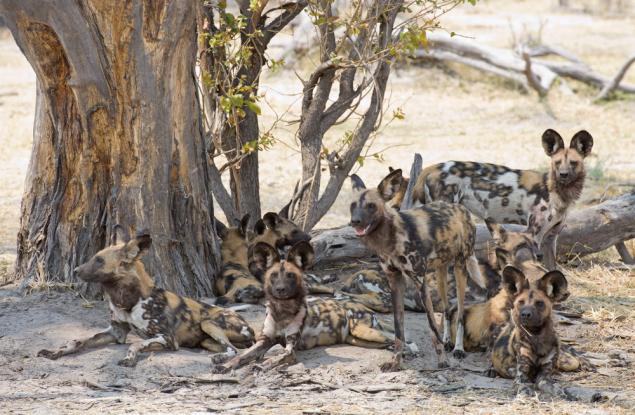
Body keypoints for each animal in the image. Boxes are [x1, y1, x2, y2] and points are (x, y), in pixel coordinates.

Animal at [37, 231, 255, 368]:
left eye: (99, 260)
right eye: (94, 257)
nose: (75, 270)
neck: (127, 299)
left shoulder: (167, 338)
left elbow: (135, 344)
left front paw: (129, 358)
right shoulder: (116, 332)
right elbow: (78, 341)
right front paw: (55, 352)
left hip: (208, 323)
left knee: (234, 350)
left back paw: (219, 359)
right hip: (206, 341)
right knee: (232, 348)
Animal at [214, 240, 392, 374]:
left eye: (290, 275)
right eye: (273, 275)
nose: (280, 289)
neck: (282, 312)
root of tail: (361, 306)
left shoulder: (290, 348)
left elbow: (276, 358)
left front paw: (262, 365)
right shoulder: (264, 341)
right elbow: (241, 356)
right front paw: (226, 365)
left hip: (363, 331)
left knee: (395, 340)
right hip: (357, 338)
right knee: (388, 343)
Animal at [350, 171, 484, 370]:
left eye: (371, 206)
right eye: (352, 206)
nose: (355, 221)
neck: (391, 239)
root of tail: (461, 208)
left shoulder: (420, 284)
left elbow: (432, 327)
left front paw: (442, 361)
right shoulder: (395, 283)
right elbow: (399, 330)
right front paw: (396, 361)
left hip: (460, 269)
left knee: (460, 313)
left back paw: (458, 349)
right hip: (441, 274)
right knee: (446, 310)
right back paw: (448, 341)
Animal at [410, 129, 592, 270]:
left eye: (573, 163)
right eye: (557, 162)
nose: (563, 175)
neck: (557, 192)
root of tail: (431, 168)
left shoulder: (550, 240)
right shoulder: (533, 235)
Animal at [492, 264, 572, 398]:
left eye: (539, 303)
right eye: (521, 302)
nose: (525, 314)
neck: (537, 336)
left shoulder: (544, 376)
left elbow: (555, 387)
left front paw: (562, 393)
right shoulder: (521, 376)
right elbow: (524, 385)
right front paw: (525, 393)